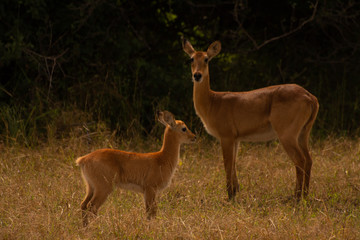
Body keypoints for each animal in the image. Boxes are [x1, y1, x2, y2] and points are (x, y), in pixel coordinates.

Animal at [183, 39, 318, 201]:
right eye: (191, 59)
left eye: (206, 59)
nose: (197, 75)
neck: (212, 102)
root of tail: (310, 97)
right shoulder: (236, 139)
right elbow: (234, 164)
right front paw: (235, 192)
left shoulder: (226, 136)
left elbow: (227, 164)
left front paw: (229, 197)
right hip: (303, 133)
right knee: (308, 160)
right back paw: (305, 195)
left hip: (287, 135)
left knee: (300, 160)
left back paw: (296, 197)